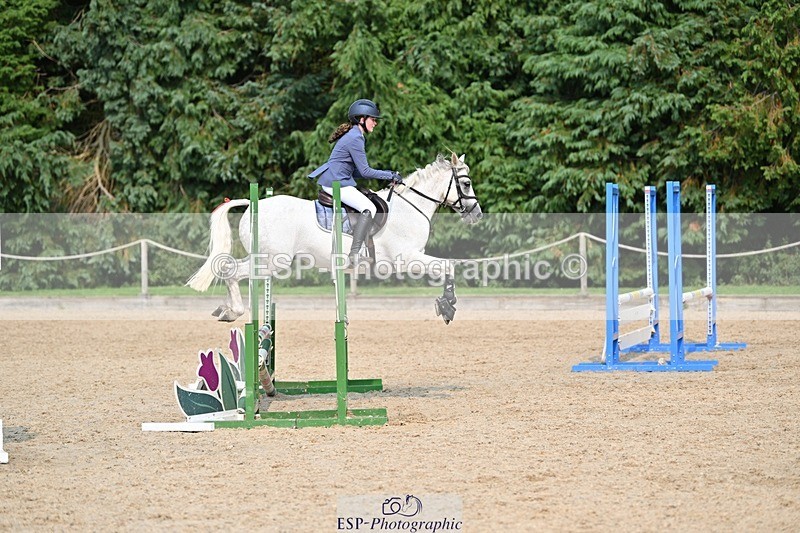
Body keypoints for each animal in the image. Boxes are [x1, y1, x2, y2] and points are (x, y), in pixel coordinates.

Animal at [187, 153, 483, 323]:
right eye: (466, 183)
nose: (477, 214)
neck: (409, 207)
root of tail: (252, 204)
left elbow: (447, 266)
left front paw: (447, 303)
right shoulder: (408, 259)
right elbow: (447, 265)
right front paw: (448, 305)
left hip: (263, 260)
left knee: (229, 268)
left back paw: (226, 310)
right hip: (270, 262)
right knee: (231, 271)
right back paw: (233, 311)